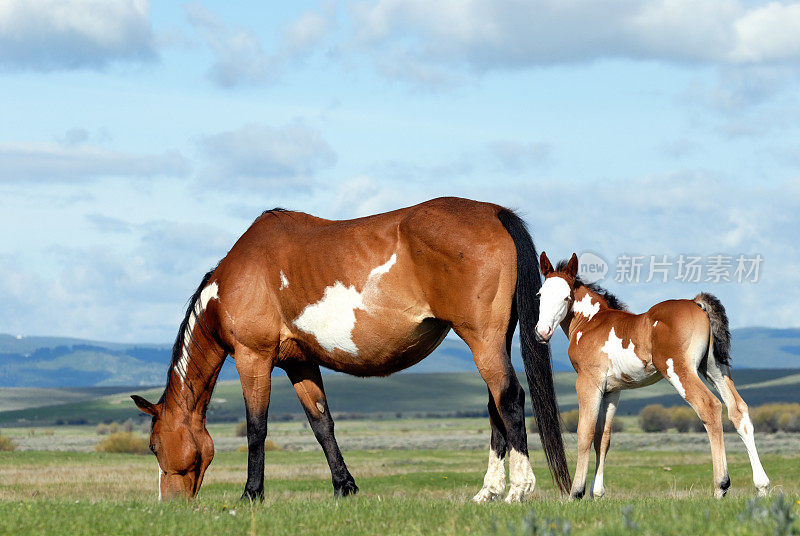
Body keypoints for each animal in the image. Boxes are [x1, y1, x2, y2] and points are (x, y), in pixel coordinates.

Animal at [131, 198, 572, 502]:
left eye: (153, 446)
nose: (169, 503)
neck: (233, 284)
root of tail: (495, 212)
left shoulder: (252, 358)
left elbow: (257, 427)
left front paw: (251, 493)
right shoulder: (300, 363)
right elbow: (321, 424)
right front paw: (345, 486)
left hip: (482, 339)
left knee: (510, 399)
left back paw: (518, 490)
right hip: (491, 342)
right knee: (495, 406)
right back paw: (488, 492)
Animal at [536, 253, 772, 500]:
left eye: (566, 297)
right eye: (540, 295)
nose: (542, 332)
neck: (592, 321)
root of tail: (696, 303)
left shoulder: (588, 382)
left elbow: (585, 433)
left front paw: (576, 492)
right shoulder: (612, 390)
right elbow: (603, 438)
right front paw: (597, 493)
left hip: (679, 370)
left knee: (709, 406)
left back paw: (721, 486)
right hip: (714, 368)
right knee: (738, 410)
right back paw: (762, 486)